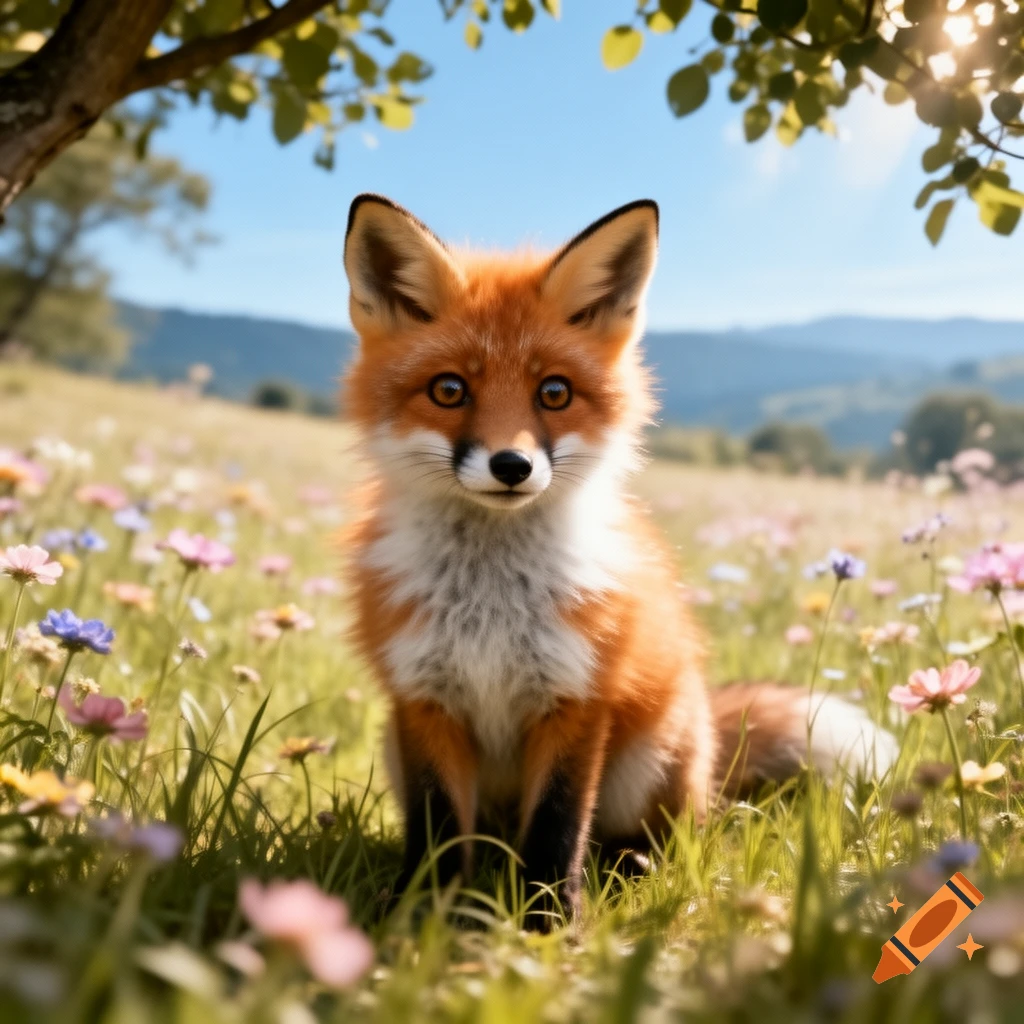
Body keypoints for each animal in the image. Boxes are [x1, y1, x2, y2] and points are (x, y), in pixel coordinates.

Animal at [340, 194, 897, 926]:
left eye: (554, 393)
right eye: (449, 390)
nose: (512, 466)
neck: (490, 605)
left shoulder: (579, 697)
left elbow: (555, 830)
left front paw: (548, 926)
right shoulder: (425, 698)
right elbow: (437, 835)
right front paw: (421, 918)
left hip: (647, 764)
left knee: (652, 839)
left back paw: (629, 873)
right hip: (399, 747)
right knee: (483, 844)